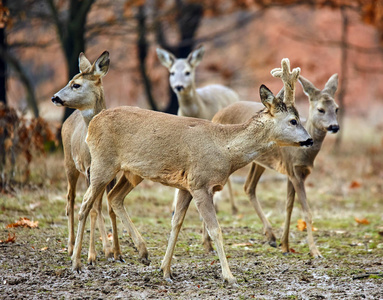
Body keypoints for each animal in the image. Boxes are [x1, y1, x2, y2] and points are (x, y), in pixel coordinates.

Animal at [51, 51, 147, 264]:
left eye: (76, 84)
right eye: (70, 81)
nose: (55, 97)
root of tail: (68, 119)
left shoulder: (113, 172)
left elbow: (108, 207)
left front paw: (117, 252)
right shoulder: (88, 169)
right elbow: (94, 208)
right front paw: (92, 255)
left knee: (93, 203)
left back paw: (105, 249)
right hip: (69, 163)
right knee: (70, 199)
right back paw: (72, 247)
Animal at [208, 71, 340, 258]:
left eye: (336, 108)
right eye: (320, 109)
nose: (334, 126)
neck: (303, 155)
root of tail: (217, 113)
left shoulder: (296, 173)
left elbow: (289, 206)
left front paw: (285, 246)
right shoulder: (293, 171)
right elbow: (306, 211)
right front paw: (315, 251)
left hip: (259, 162)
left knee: (249, 187)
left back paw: (270, 236)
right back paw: (208, 245)